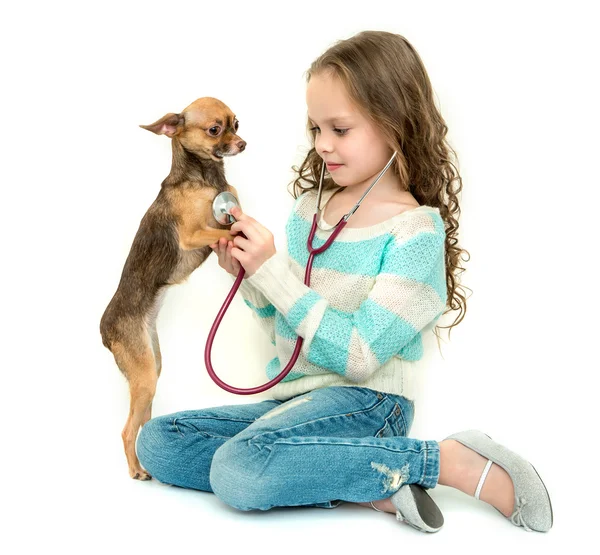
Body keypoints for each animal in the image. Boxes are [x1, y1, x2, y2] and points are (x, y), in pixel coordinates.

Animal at [101, 97, 244, 480]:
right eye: (215, 129)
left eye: (237, 124)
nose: (243, 144)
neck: (204, 178)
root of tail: (105, 331)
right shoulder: (194, 235)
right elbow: (226, 230)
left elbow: (234, 205)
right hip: (144, 375)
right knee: (126, 430)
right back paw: (136, 471)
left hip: (153, 367)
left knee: (141, 422)